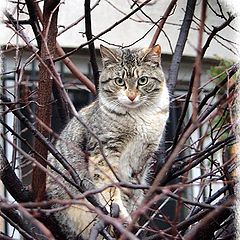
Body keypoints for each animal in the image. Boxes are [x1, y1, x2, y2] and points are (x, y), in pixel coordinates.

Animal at [46, 44, 170, 238]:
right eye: (119, 81)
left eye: (142, 80)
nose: (132, 96)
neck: (139, 116)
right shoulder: (104, 150)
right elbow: (108, 185)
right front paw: (120, 214)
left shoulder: (141, 159)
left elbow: (130, 189)